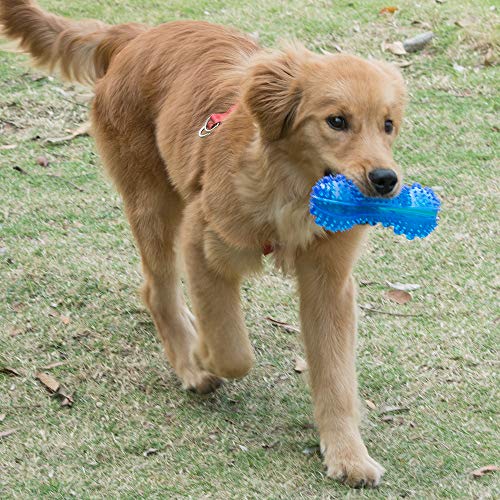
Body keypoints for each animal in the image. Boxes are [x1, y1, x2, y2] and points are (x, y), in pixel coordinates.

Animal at [1, 0, 406, 486]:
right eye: (337, 121)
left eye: (388, 125)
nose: (385, 180)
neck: (289, 193)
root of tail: (137, 35)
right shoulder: (202, 246)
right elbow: (233, 350)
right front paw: (201, 355)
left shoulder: (329, 284)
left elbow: (336, 378)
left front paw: (347, 454)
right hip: (154, 204)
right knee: (157, 291)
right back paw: (189, 362)